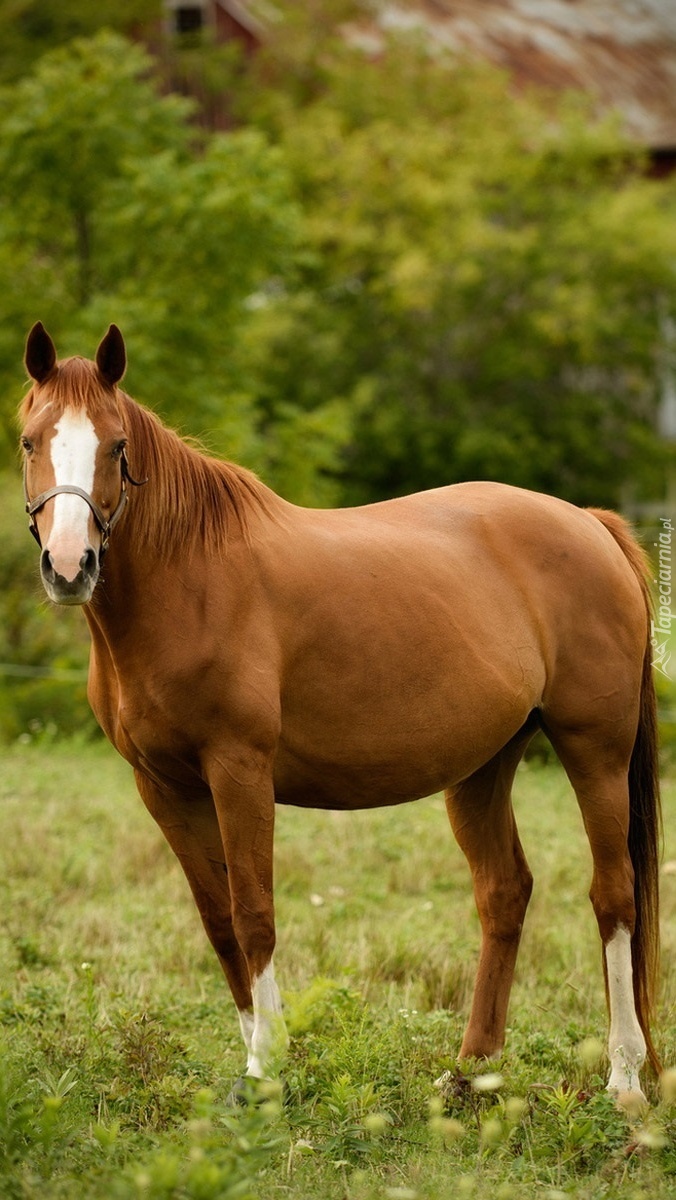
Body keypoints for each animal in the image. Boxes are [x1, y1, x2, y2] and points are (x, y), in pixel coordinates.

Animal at [19, 321, 662, 1104]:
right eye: (29, 441)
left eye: (116, 446)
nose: (69, 566)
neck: (190, 579)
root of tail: (592, 525)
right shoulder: (163, 786)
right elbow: (218, 921)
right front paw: (252, 1059)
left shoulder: (239, 771)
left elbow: (254, 913)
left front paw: (265, 1070)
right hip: (484, 766)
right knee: (504, 894)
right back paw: (470, 1075)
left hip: (595, 750)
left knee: (615, 897)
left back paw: (624, 1079)